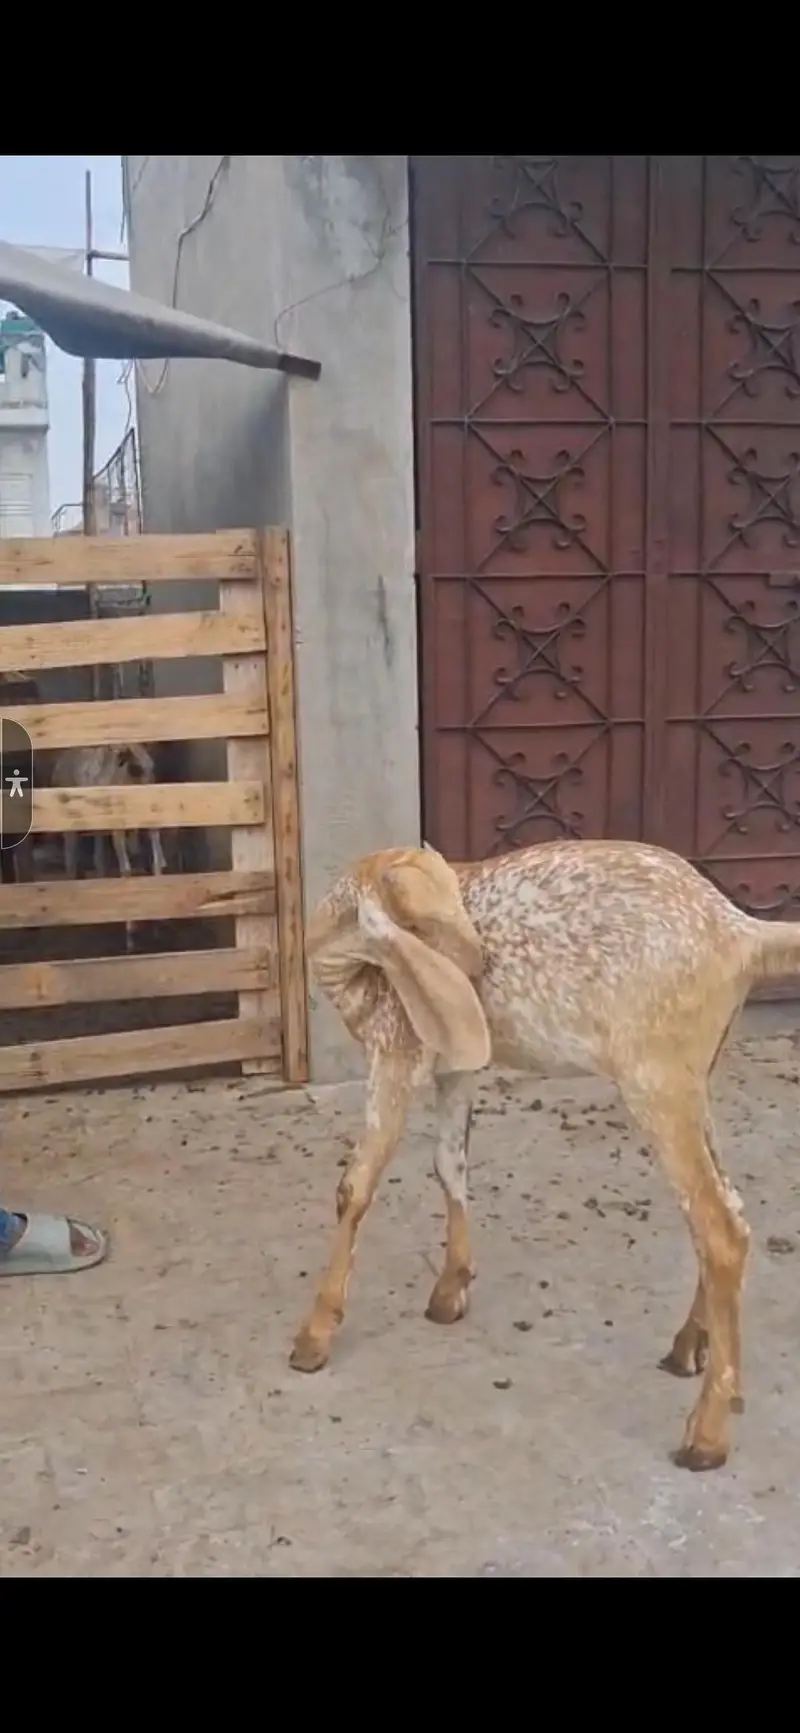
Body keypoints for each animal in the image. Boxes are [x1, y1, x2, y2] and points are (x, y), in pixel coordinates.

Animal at [290, 837, 800, 1474]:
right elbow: (449, 1164)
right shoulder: (455, 1062)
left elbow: (355, 1186)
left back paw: (705, 1436)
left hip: (655, 1076)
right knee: (729, 1211)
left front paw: (313, 1336)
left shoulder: (395, 1051)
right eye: (427, 915)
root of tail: (739, 932)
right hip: (697, 1076)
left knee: (719, 1228)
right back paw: (687, 1348)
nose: (476, 965)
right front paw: (450, 1291)